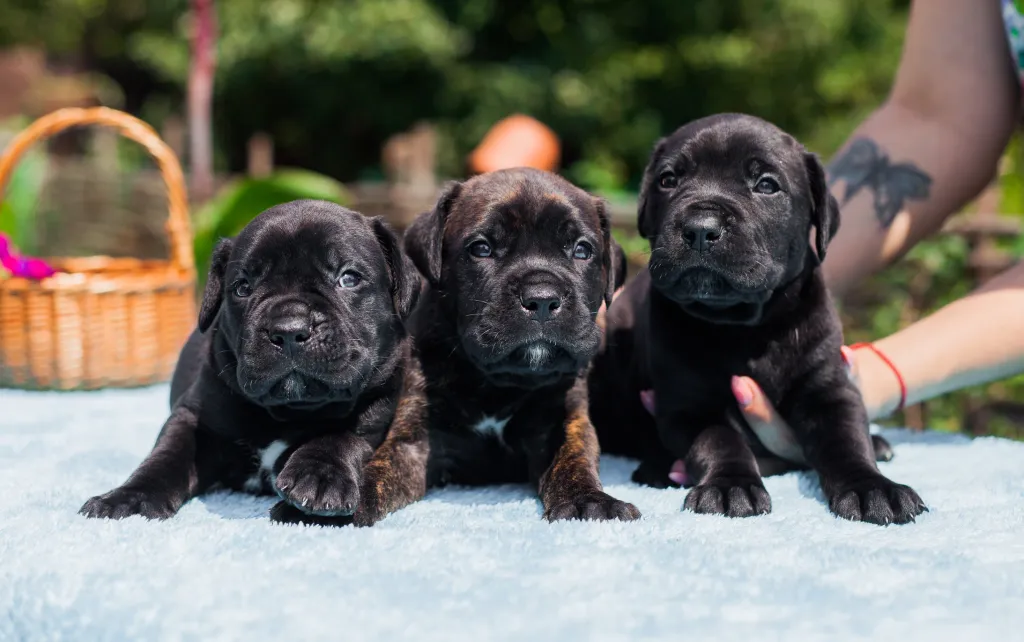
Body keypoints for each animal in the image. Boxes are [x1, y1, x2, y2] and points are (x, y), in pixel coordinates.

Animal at [78, 201, 423, 528]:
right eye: (243, 288)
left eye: (348, 278)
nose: (288, 328)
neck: (290, 412)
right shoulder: (192, 416)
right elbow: (167, 456)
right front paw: (128, 499)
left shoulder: (376, 410)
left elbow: (342, 435)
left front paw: (319, 480)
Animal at [395, 166, 643, 522]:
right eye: (481, 248)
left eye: (582, 250)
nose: (542, 299)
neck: (498, 383)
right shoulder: (414, 438)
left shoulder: (562, 421)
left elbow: (574, 462)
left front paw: (590, 500)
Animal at [589, 114, 925, 528]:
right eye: (668, 180)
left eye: (766, 185)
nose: (701, 227)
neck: (744, 327)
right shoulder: (687, 404)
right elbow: (719, 440)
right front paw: (731, 486)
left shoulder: (829, 388)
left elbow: (846, 439)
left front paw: (871, 487)